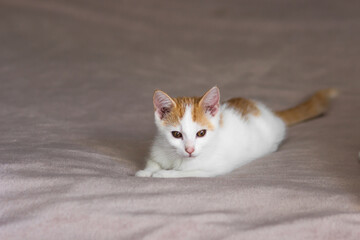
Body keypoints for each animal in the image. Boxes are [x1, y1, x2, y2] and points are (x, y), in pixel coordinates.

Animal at [135, 87, 338, 177]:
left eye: (201, 133)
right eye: (176, 135)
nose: (190, 150)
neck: (178, 159)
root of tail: (267, 111)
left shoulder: (214, 168)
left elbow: (188, 173)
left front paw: (164, 174)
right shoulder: (158, 147)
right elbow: (153, 161)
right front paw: (146, 171)